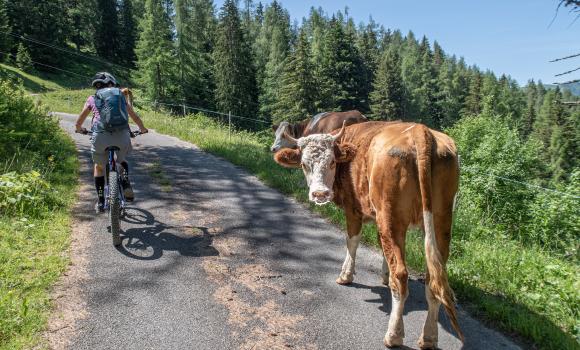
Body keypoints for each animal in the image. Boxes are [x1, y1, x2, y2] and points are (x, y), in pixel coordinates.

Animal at [274, 120, 462, 348]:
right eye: (304, 164)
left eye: (331, 162)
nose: (320, 194)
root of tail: (420, 131)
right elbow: (383, 247)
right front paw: (383, 275)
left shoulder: (353, 210)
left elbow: (352, 242)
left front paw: (346, 275)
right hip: (440, 220)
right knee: (433, 278)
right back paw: (428, 337)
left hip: (391, 215)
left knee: (401, 275)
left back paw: (394, 335)